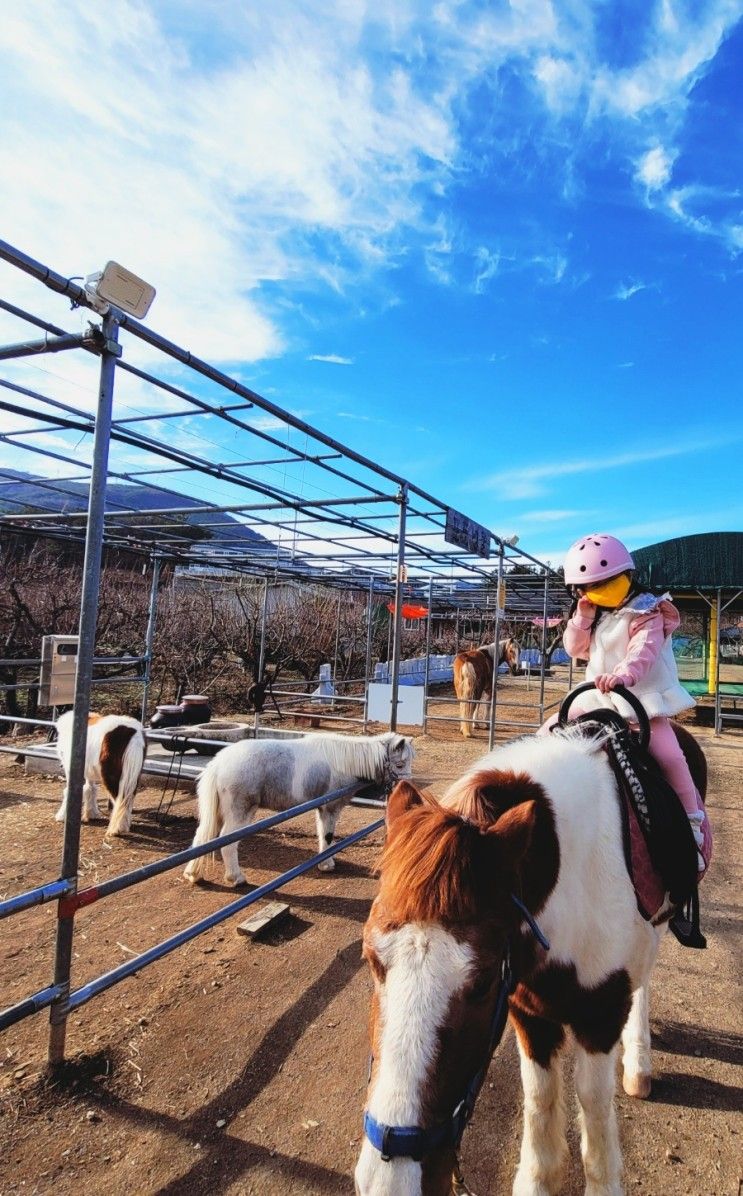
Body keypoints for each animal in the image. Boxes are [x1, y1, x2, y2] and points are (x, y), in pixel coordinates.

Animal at [179, 727, 411, 889]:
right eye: (400, 764)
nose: (407, 787)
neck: (344, 761)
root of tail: (218, 764)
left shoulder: (322, 809)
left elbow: (322, 834)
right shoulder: (330, 808)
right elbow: (328, 836)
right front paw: (327, 865)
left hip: (219, 814)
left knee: (203, 838)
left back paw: (194, 874)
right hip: (239, 813)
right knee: (227, 844)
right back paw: (236, 878)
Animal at [356, 717, 703, 1196]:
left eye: (483, 982)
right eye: (371, 959)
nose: (388, 1183)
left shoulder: (601, 1014)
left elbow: (593, 1099)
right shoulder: (527, 1008)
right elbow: (539, 1093)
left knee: (645, 981)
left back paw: (639, 1065)